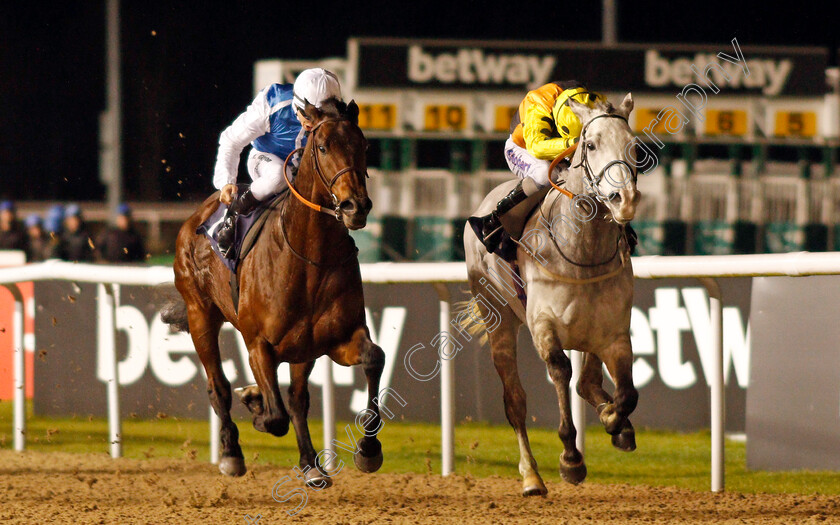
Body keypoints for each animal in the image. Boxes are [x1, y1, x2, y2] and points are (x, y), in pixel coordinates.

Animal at [162, 99, 384, 488]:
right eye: (322, 147)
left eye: (364, 145)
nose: (356, 206)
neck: (310, 256)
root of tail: (197, 215)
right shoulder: (258, 344)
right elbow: (275, 417)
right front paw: (255, 404)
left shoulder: (338, 338)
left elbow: (374, 358)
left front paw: (368, 451)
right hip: (200, 314)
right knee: (218, 386)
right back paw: (232, 453)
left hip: (302, 349)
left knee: (296, 398)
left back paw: (311, 464)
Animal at [462, 93, 640, 496]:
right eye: (591, 145)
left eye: (634, 147)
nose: (624, 199)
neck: (583, 253)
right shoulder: (544, 325)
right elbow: (559, 371)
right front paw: (571, 459)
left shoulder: (614, 334)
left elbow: (626, 393)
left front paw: (615, 421)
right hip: (496, 316)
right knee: (515, 401)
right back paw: (531, 476)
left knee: (588, 383)